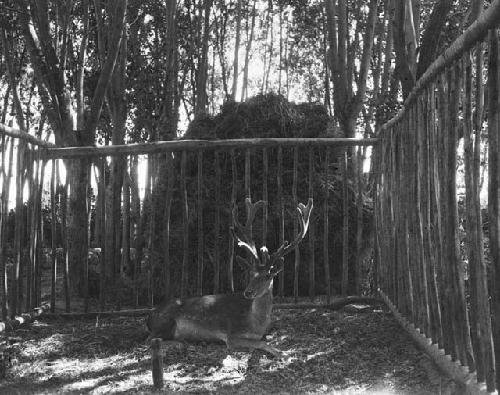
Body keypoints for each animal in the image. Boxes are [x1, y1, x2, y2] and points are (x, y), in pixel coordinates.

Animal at [146, 200, 312, 358]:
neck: (256, 324)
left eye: (268, 275)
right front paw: (284, 354)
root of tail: (150, 316)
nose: (248, 292)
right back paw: (186, 344)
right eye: (251, 273)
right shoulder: (232, 335)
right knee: (150, 340)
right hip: (165, 322)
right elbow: (262, 343)